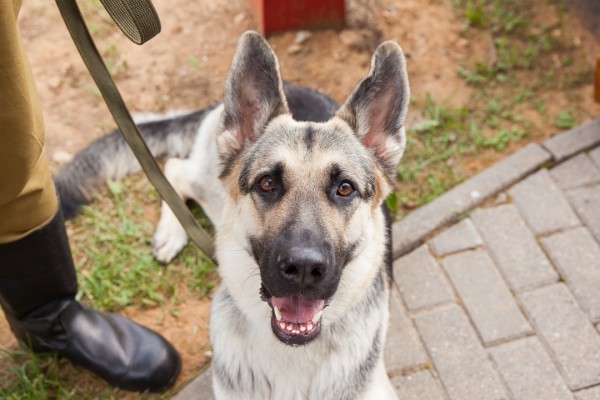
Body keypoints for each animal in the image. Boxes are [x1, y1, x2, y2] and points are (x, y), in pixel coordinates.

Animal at [55, 29, 408, 398]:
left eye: (345, 188)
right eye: (267, 183)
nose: (303, 268)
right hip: (211, 186)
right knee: (174, 168)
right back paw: (171, 231)